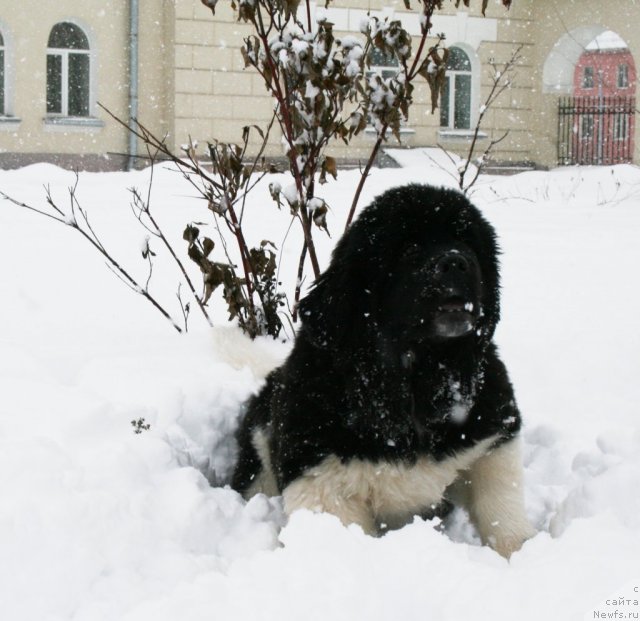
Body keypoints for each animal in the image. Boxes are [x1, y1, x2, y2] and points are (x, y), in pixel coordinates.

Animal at [232, 184, 532, 556]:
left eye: (467, 243)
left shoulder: (492, 433)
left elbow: (501, 507)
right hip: (260, 450)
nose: (457, 262)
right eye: (409, 249)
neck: (416, 378)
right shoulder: (321, 479)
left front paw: (525, 553)